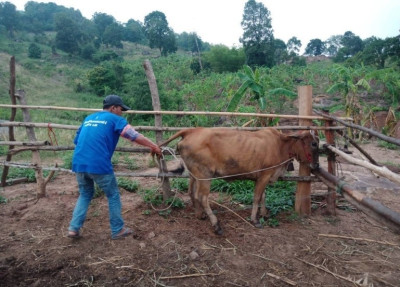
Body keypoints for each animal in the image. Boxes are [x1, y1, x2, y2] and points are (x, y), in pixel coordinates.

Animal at [159, 128, 318, 236]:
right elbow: (257, 197)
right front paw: (255, 220)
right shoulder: (265, 175)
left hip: (195, 174)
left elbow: (263, 196)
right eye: (313, 143)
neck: (280, 144)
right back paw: (216, 224)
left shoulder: (263, 177)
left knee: (191, 192)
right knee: (202, 197)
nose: (316, 165)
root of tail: (191, 130)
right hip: (205, 175)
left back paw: (200, 215)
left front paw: (264, 214)